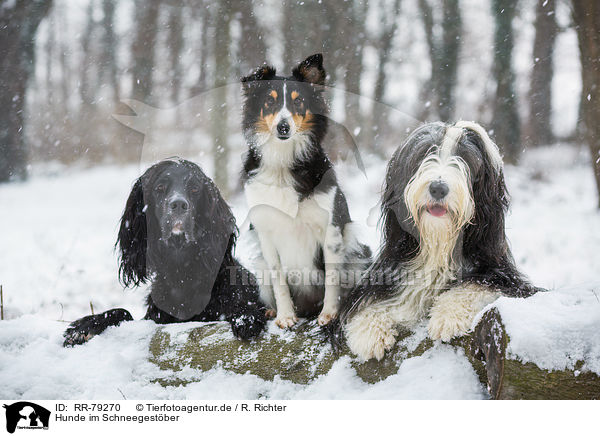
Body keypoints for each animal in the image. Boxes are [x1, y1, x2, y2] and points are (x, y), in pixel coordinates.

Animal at [62, 158, 264, 346]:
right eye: (160, 187)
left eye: (194, 189)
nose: (179, 205)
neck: (183, 272)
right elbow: (122, 311)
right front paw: (84, 327)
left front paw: (247, 315)